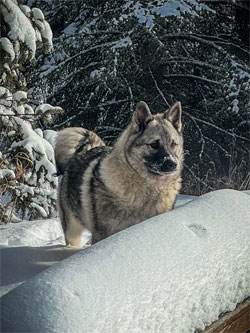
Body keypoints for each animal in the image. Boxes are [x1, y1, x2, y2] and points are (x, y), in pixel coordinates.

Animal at [55, 100, 184, 245]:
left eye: (173, 144)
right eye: (154, 145)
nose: (173, 164)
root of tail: (85, 150)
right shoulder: (102, 234)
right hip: (72, 230)